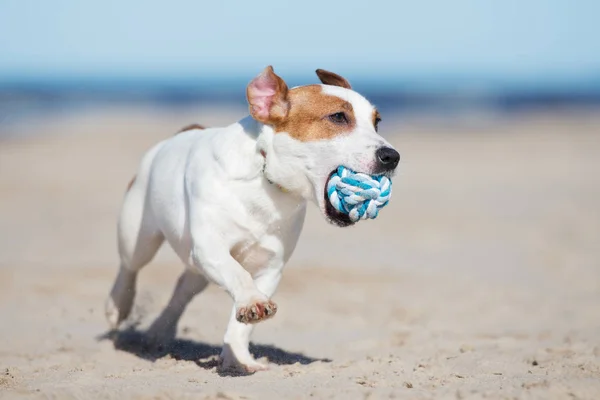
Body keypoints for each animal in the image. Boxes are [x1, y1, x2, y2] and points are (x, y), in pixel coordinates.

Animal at [105, 67, 400, 374]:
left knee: (184, 288)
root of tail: (184, 131)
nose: (392, 157)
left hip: (193, 264)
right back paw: (117, 307)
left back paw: (158, 333)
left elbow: (241, 326)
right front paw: (252, 301)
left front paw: (237, 358)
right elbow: (237, 274)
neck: (265, 174)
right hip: (139, 236)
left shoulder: (270, 266)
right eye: (338, 117)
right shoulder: (211, 248)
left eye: (377, 122)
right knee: (130, 266)